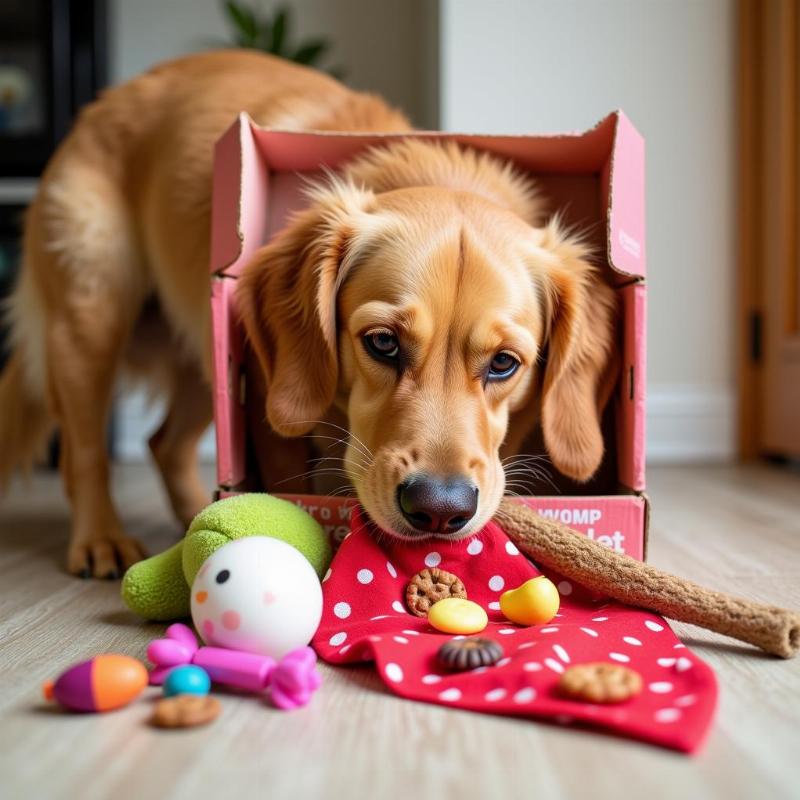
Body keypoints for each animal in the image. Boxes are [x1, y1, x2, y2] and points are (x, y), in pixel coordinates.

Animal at [0, 50, 620, 576]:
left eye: (504, 364)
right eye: (382, 342)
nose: (440, 510)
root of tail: (102, 101)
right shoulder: (264, 402)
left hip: (205, 352)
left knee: (164, 444)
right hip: (92, 316)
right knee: (84, 451)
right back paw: (101, 538)